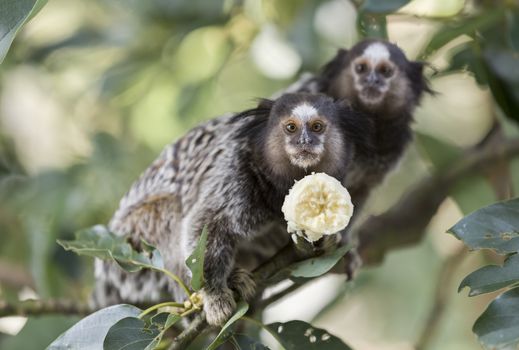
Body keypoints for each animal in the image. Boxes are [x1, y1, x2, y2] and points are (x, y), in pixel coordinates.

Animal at [92, 93, 370, 326]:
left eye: (317, 127)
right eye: (290, 127)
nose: (305, 141)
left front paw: (327, 240)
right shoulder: (235, 175)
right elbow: (207, 225)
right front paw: (214, 295)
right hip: (136, 239)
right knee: (168, 211)